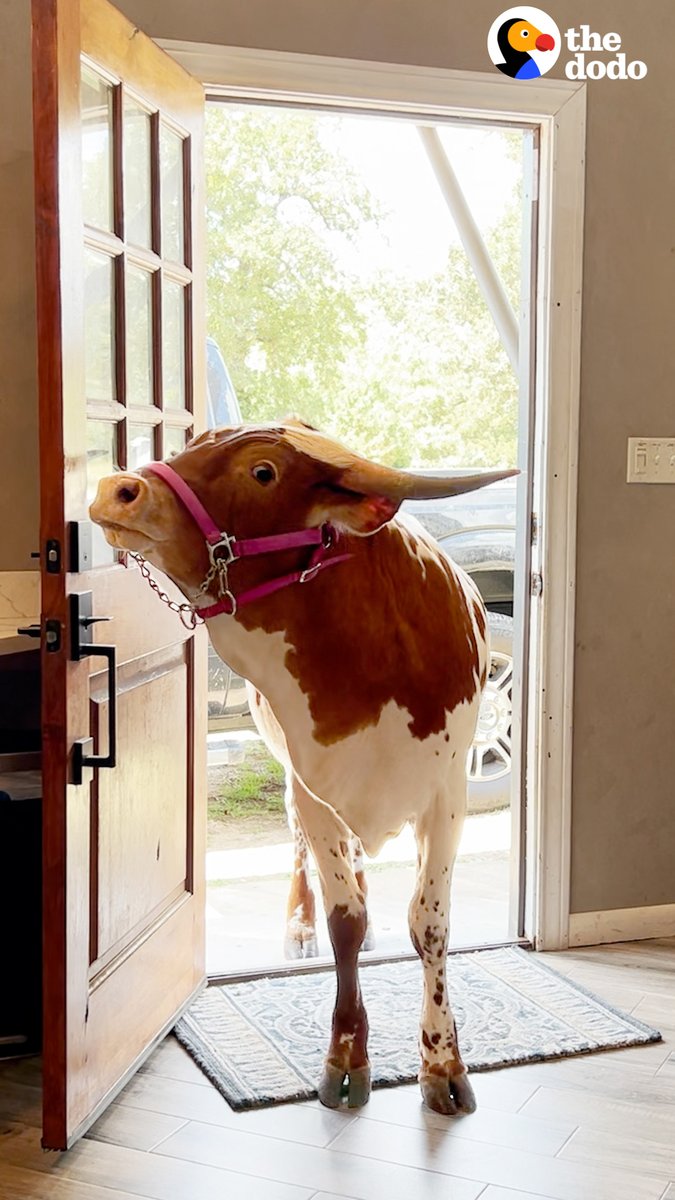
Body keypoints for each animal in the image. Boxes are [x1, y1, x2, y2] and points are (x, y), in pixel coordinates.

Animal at [90, 420, 517, 1116]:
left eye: (263, 472)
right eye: (191, 446)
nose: (117, 489)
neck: (368, 654)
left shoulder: (446, 795)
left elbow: (430, 926)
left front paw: (443, 1063)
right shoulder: (314, 789)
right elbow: (346, 921)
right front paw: (346, 1056)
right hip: (296, 784)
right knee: (306, 852)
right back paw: (299, 925)